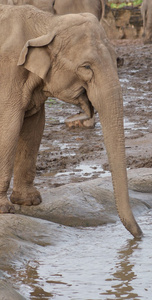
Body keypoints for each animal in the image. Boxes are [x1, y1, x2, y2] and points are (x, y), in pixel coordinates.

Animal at [0, 4, 142, 239]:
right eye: (86, 67)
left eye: (117, 60)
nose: (140, 235)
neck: (48, 24)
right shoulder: (7, 75)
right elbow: (8, 126)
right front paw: (5, 209)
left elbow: (34, 126)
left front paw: (30, 201)